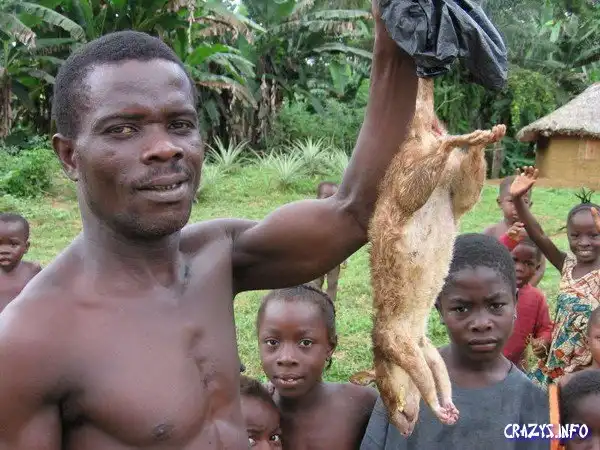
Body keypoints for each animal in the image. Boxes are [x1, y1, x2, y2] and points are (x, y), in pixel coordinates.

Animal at [349, 76, 507, 437]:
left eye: (383, 391)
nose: (403, 428)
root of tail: (416, 135)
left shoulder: (396, 340)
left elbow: (420, 374)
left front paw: (434, 404)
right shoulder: (421, 342)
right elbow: (436, 366)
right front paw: (446, 403)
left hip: (408, 181)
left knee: (428, 169)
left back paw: (462, 139)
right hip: (452, 188)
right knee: (465, 185)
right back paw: (485, 137)